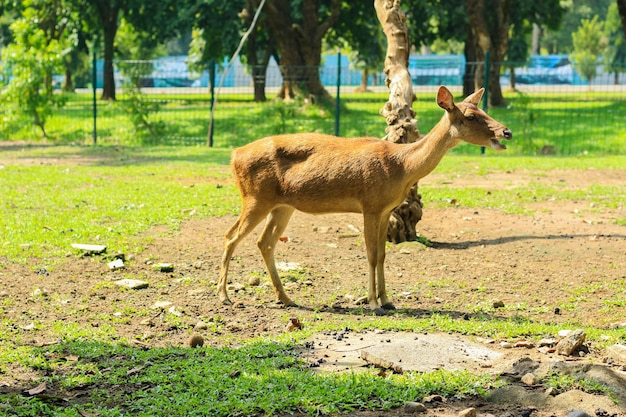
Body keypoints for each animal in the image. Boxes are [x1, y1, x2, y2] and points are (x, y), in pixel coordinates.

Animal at [217, 87, 510, 316]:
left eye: (483, 110)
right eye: (471, 116)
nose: (506, 132)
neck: (402, 167)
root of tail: (233, 156)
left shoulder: (385, 210)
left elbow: (381, 255)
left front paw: (388, 300)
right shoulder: (370, 205)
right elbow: (370, 255)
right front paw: (373, 303)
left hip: (282, 205)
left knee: (264, 242)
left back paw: (287, 298)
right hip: (255, 198)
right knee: (230, 236)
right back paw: (224, 296)